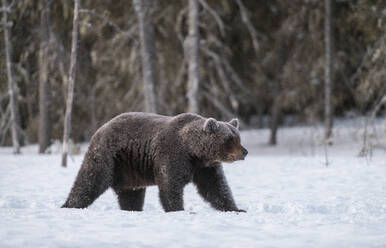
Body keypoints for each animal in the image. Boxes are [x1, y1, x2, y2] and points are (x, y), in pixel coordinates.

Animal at [60, 112, 247, 211]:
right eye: (230, 139)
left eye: (238, 137)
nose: (244, 152)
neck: (194, 151)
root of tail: (100, 129)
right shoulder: (173, 155)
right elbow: (170, 184)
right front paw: (177, 208)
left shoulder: (205, 167)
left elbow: (216, 188)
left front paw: (236, 208)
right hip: (108, 156)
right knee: (91, 179)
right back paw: (70, 204)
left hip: (129, 171)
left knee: (131, 194)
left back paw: (132, 209)